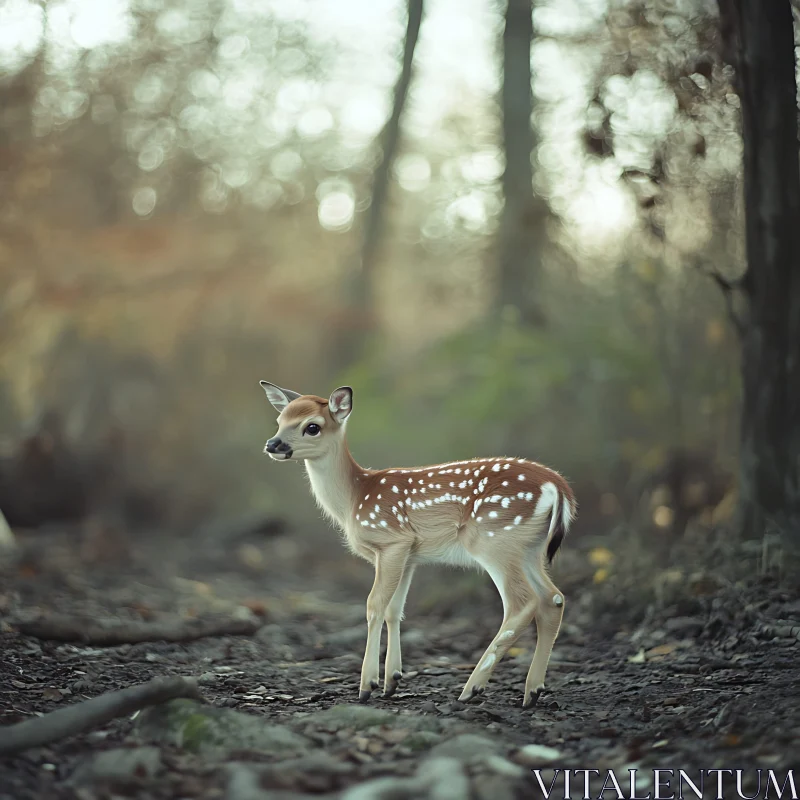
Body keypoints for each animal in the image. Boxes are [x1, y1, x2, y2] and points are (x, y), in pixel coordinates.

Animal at [262, 382, 576, 708]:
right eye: (280, 420)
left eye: (312, 427)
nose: (273, 444)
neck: (354, 498)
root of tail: (558, 487)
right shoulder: (410, 555)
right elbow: (394, 609)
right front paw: (391, 681)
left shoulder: (391, 540)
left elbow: (374, 605)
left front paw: (367, 685)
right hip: (530, 548)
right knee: (553, 598)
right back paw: (532, 691)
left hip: (493, 538)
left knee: (523, 602)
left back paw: (472, 688)